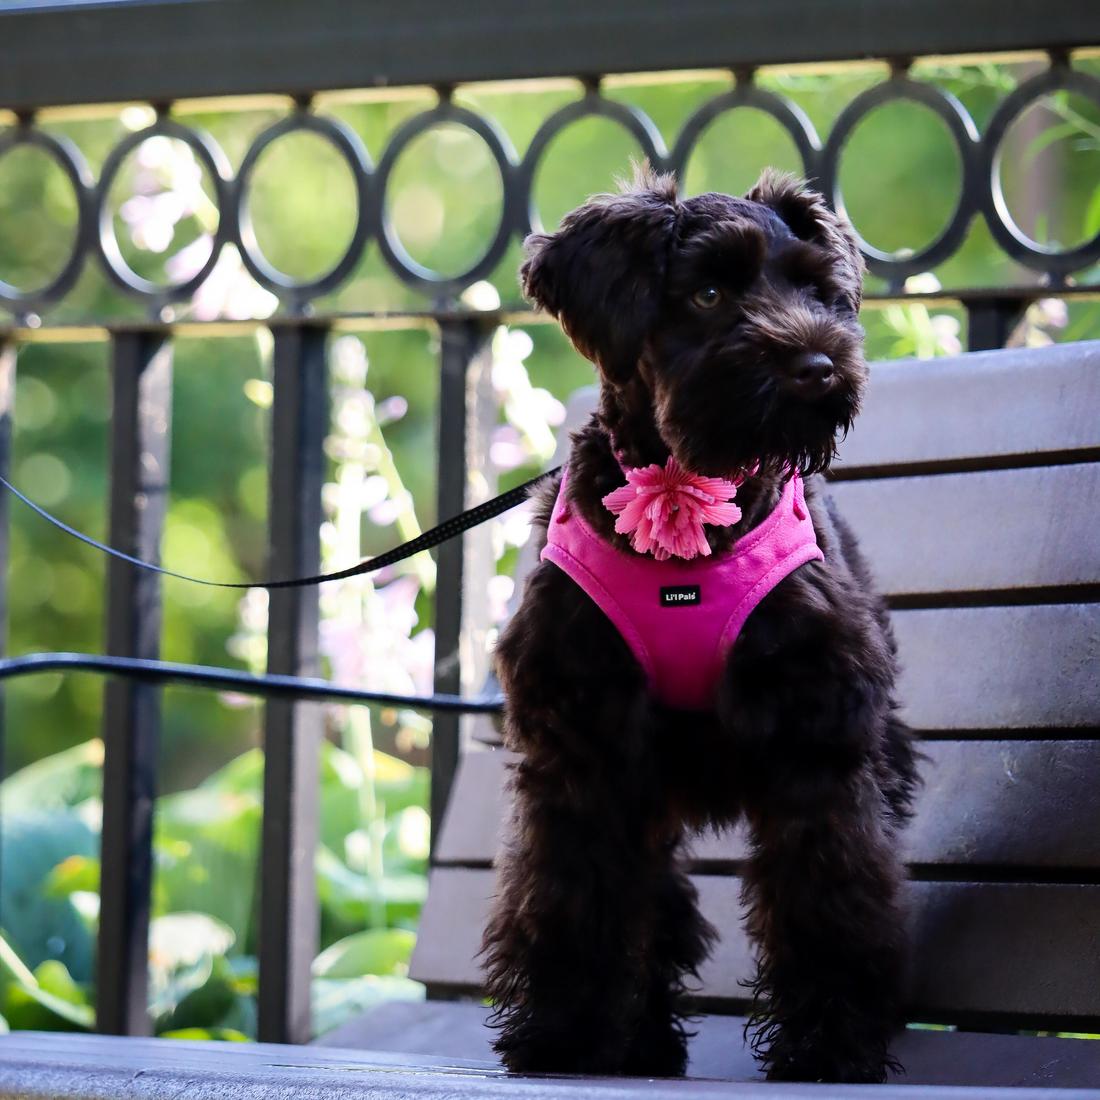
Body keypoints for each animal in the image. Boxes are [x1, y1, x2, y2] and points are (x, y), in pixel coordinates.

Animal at [481, 167, 919, 1086]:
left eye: (816, 290)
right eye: (710, 292)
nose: (817, 365)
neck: (687, 496)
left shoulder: (818, 743)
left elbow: (830, 897)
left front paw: (830, 1044)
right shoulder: (583, 750)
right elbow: (571, 896)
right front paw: (562, 1034)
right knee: (655, 904)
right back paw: (638, 1041)